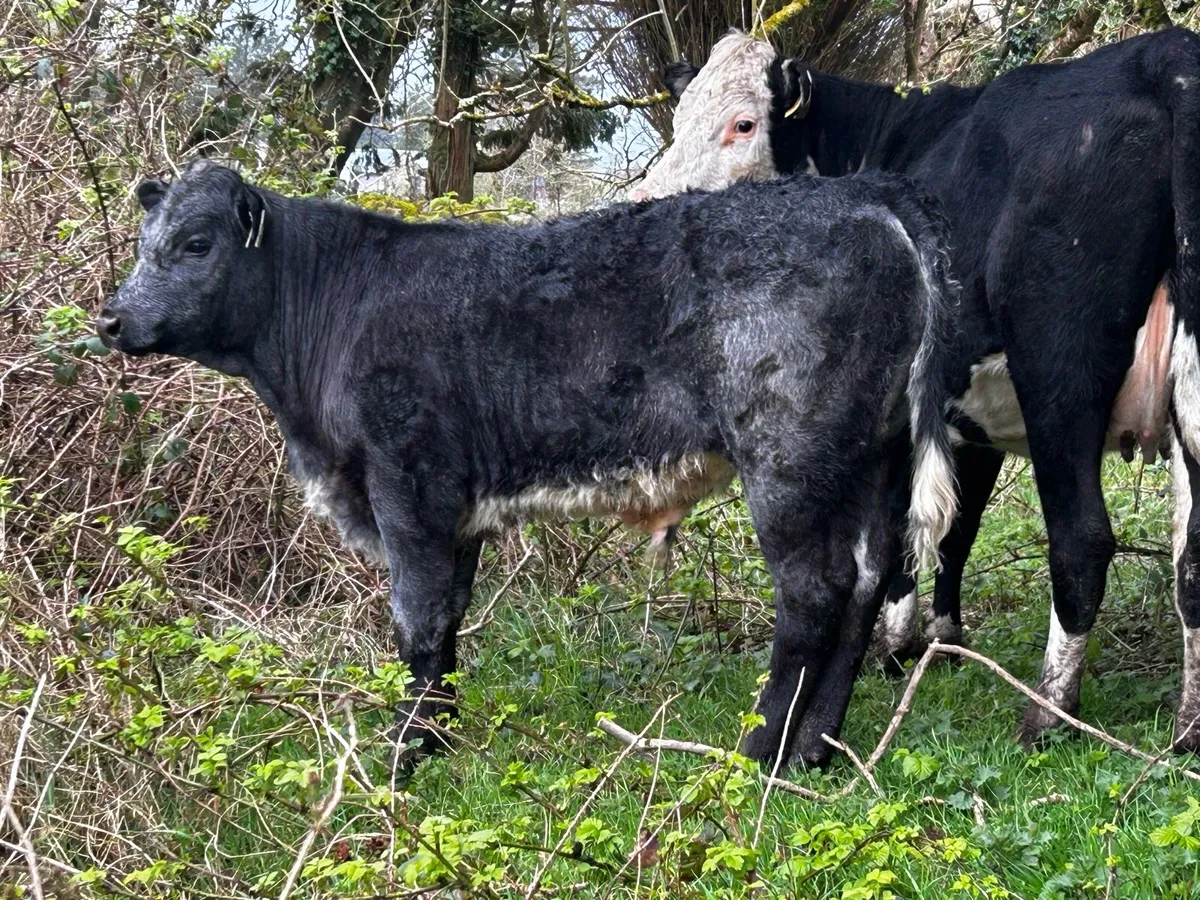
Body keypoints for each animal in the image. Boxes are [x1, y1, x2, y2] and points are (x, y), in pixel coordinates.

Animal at [96, 159, 959, 769]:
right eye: (142, 243)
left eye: (196, 242)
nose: (110, 318)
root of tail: (868, 193)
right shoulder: (452, 507)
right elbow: (447, 619)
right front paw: (437, 742)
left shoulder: (405, 482)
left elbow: (414, 620)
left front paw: (401, 759)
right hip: (874, 459)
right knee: (868, 580)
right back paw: (816, 750)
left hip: (789, 461)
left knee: (814, 592)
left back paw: (755, 756)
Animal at [632, 27, 1200, 753]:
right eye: (679, 118)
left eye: (744, 124)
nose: (650, 207)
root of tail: (1166, 55)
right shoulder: (975, 421)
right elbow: (956, 528)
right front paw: (943, 638)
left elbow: (901, 530)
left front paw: (897, 647)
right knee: (1192, 555)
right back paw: (1188, 726)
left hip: (1058, 363)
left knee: (1082, 539)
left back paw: (1048, 713)